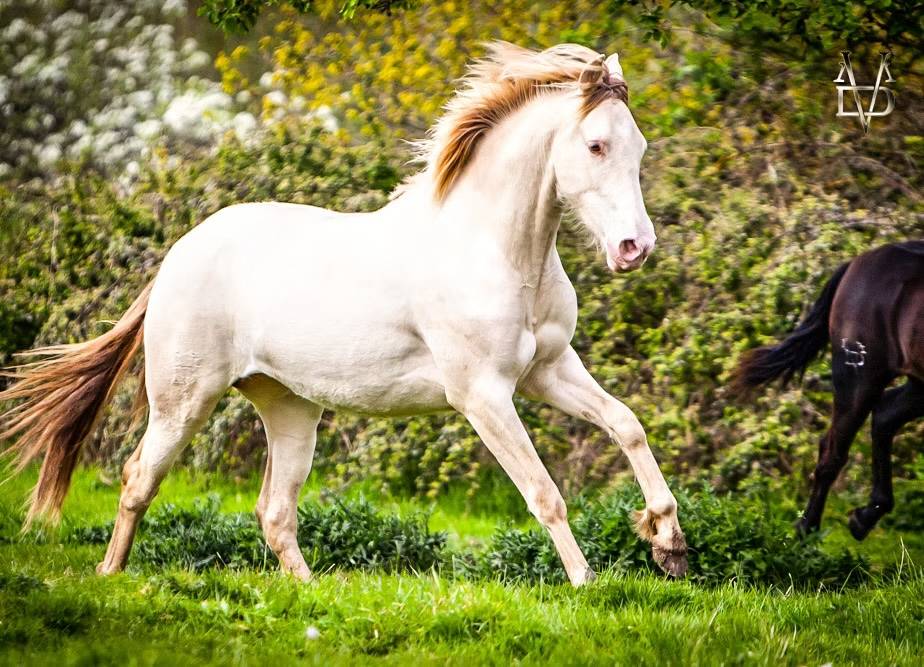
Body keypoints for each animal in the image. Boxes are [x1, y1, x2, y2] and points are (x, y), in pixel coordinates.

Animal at [0, 42, 688, 586]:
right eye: (595, 145)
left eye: (638, 146)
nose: (635, 248)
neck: (495, 251)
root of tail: (178, 255)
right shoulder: (484, 396)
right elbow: (545, 494)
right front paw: (585, 583)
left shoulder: (548, 370)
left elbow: (627, 425)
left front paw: (668, 544)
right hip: (183, 400)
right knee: (139, 477)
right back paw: (109, 575)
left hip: (290, 409)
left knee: (274, 512)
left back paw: (308, 592)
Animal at [733, 241, 924, 539]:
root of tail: (859, 260)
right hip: (859, 379)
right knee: (833, 451)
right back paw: (808, 531)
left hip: (916, 385)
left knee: (883, 418)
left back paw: (860, 519)